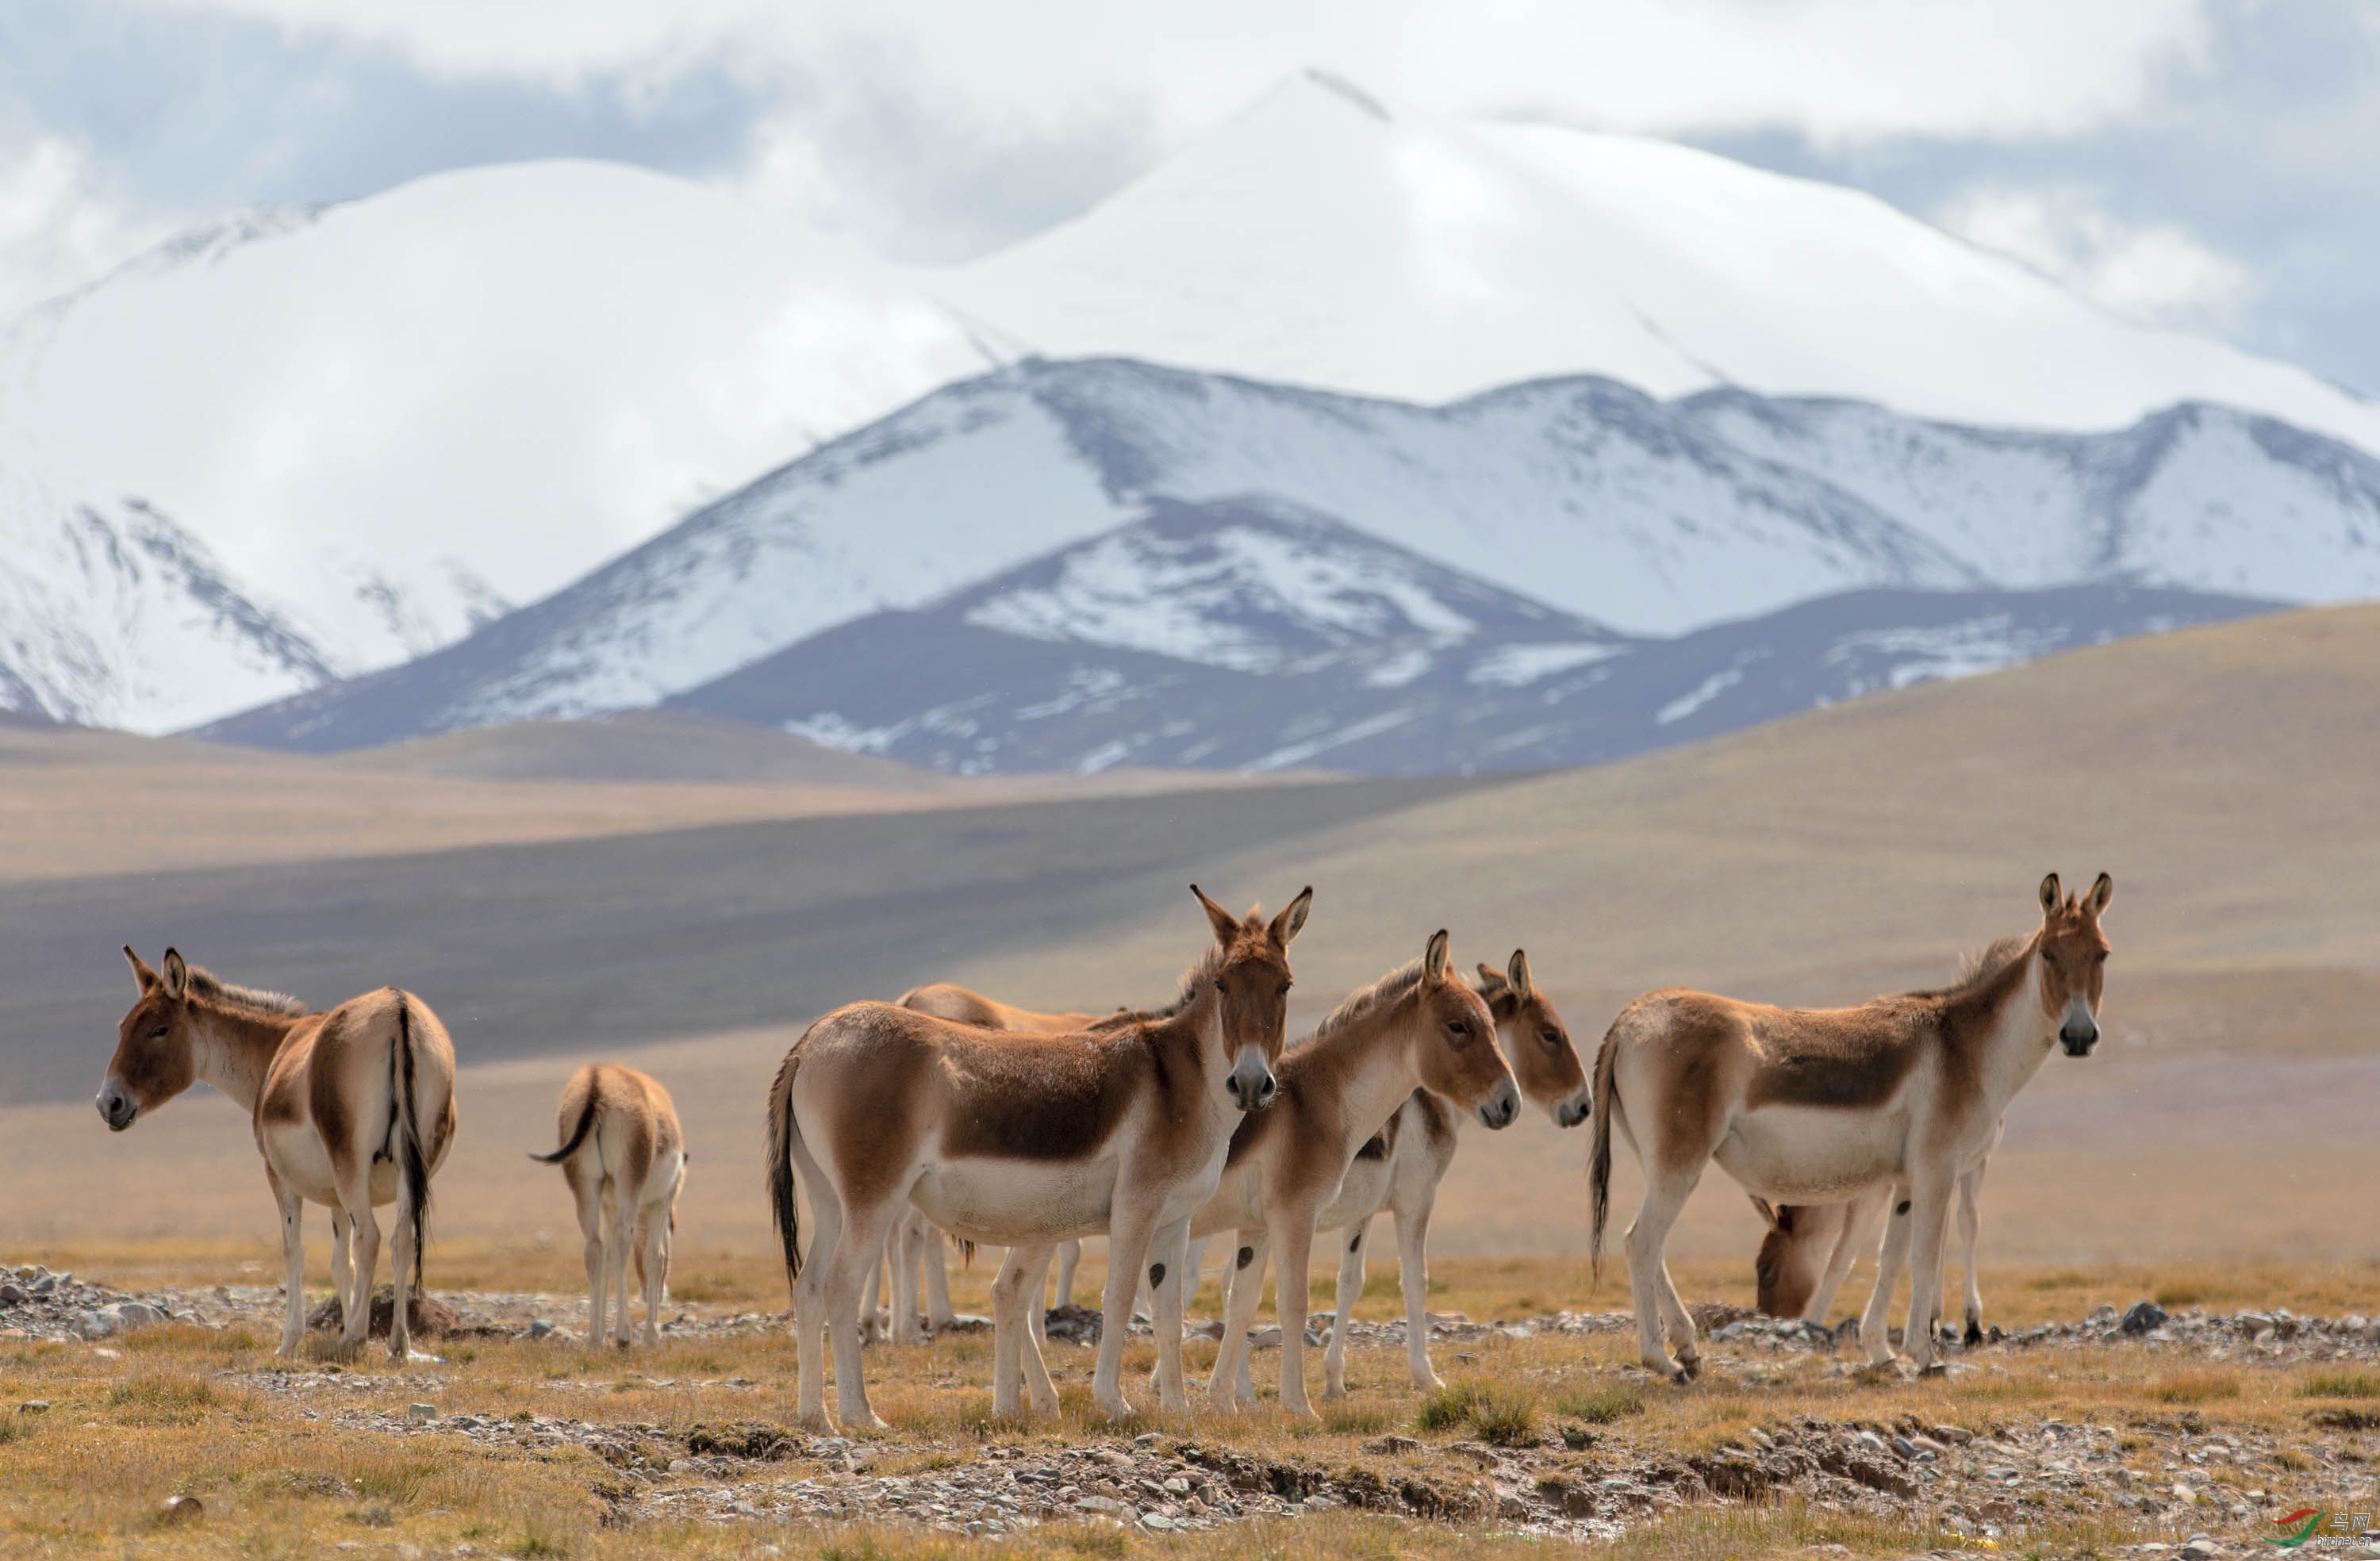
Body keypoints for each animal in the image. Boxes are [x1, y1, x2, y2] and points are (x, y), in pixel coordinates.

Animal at [102, 947, 457, 1361]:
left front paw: (290, 1341)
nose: (108, 1103)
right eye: (123, 1026)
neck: (277, 1048)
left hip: (351, 1164)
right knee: (401, 1240)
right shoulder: (335, 1195)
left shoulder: (279, 1176)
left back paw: (355, 1338)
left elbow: (294, 1250)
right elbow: (341, 1263)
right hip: (407, 1165)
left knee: (370, 1237)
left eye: (159, 1029)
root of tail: (397, 1009)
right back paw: (398, 1344)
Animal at [531, 1066, 690, 1352]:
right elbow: (655, 1258)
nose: (661, 1294)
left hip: (586, 1186)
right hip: (627, 1185)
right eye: (674, 1226)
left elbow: (606, 1260)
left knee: (594, 1249)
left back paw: (595, 1340)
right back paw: (624, 1336)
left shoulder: (608, 1205)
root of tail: (599, 1080)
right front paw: (652, 1336)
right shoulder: (660, 1202)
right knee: (621, 1241)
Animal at [766, 890, 1314, 1428]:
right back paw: (861, 1415)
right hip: (873, 1198)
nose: (1250, 1084)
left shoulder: (1173, 1221)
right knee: (840, 1285)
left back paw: (815, 1418)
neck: (1178, 1080)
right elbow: (1119, 1298)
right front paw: (1114, 1402)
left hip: (830, 1199)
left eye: (1285, 986)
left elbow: (1167, 1313)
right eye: (1222, 984)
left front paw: (1178, 1411)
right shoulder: (1136, 1208)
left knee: (809, 1288)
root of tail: (812, 1040)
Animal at [1590, 876, 2113, 1380]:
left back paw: (1689, 1351)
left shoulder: (1905, 1179)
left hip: (1663, 1163)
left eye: (2102, 953)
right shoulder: (1937, 1169)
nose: (2079, 1037)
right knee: (1641, 1242)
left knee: (1652, 1247)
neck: (1964, 1044)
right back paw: (1661, 1361)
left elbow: (1891, 1256)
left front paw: (1882, 1353)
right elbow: (1924, 1255)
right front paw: (1925, 1356)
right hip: (1680, 1163)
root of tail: (1631, 1017)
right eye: (2048, 953)